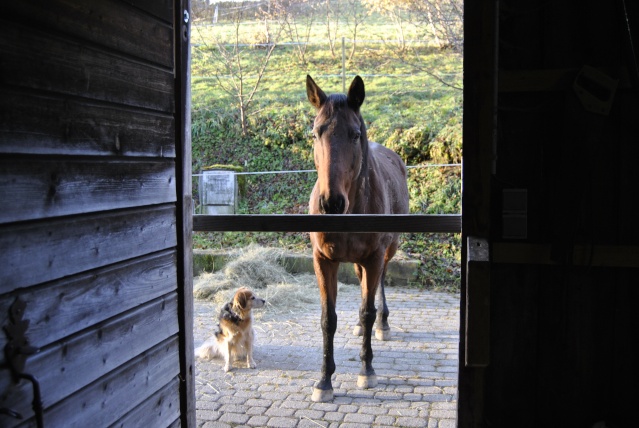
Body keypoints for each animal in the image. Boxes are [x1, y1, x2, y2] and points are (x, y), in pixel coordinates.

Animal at [306, 75, 410, 402]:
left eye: (354, 135)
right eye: (315, 133)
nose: (331, 203)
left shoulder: (374, 257)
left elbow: (367, 311)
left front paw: (367, 371)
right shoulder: (323, 261)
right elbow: (328, 319)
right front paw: (324, 380)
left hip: (388, 251)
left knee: (379, 288)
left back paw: (382, 324)